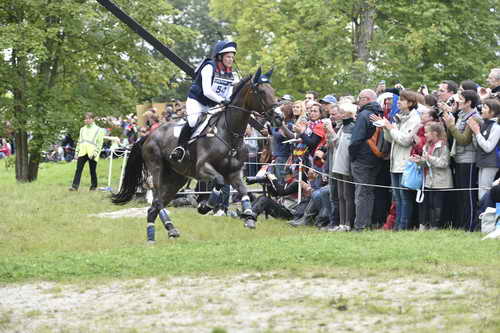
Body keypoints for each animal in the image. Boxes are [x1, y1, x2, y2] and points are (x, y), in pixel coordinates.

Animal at [111, 67, 280, 241]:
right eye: (261, 91)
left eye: (273, 90)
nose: (279, 117)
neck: (229, 132)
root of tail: (148, 135)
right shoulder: (203, 168)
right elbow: (219, 181)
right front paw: (206, 206)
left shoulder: (234, 172)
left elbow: (244, 191)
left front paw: (249, 217)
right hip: (157, 170)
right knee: (157, 202)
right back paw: (160, 233)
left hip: (177, 179)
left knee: (155, 206)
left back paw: (164, 232)